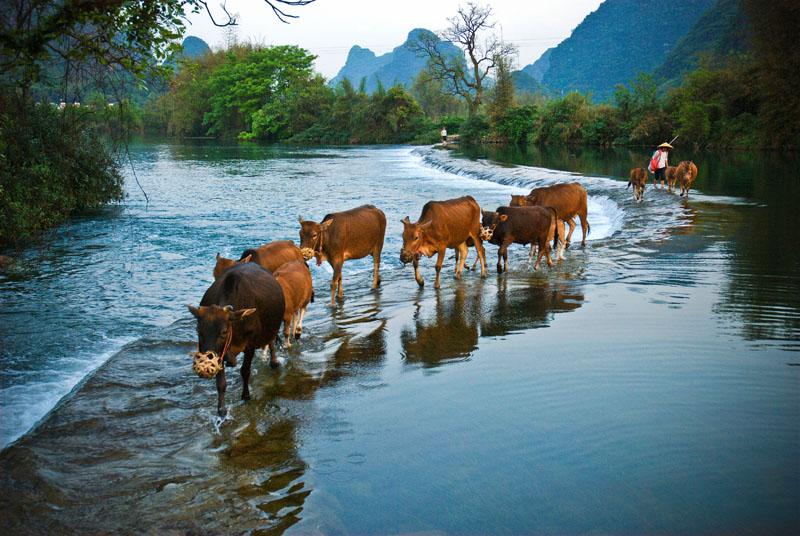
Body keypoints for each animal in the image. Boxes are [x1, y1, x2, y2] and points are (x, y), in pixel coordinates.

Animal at [186, 264, 286, 418]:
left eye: (224, 332)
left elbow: (245, 370)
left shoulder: (250, 345)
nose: (204, 364)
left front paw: (246, 396)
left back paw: (274, 362)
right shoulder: (219, 353)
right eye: (198, 330)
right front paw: (222, 410)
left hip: (271, 328)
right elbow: (221, 382)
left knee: (270, 340)